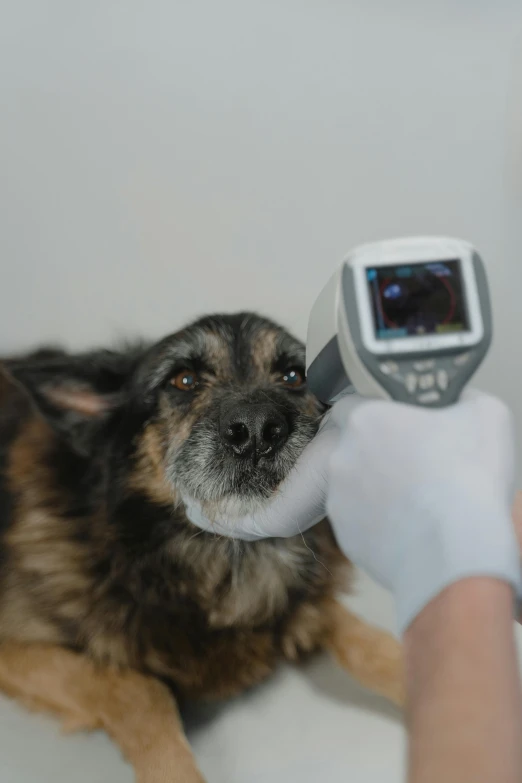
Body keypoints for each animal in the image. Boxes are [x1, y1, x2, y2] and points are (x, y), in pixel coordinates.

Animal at [0, 314, 402, 783]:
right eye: (184, 379)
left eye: (294, 376)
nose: (257, 430)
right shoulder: (16, 648)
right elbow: (142, 690)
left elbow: (366, 639)